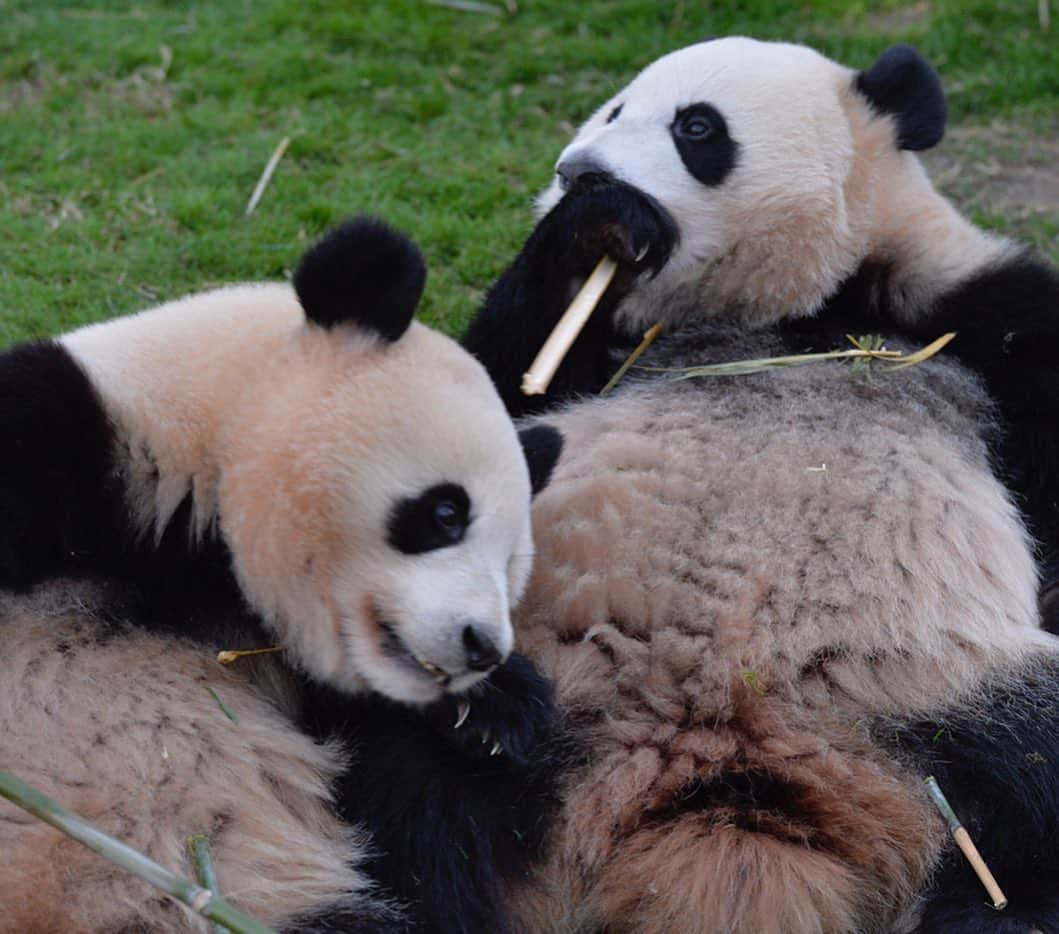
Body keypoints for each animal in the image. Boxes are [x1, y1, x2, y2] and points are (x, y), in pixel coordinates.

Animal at [0, 217, 571, 931]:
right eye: (446, 512)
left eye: (511, 565)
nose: (481, 647)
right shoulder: (72, 443)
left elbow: (431, 813)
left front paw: (496, 715)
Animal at [465, 38, 1059, 931]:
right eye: (612, 110)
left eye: (696, 128)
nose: (580, 174)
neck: (791, 310)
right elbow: (494, 397)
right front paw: (587, 231)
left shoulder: (975, 312)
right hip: (544, 689)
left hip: (937, 691)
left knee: (1027, 782)